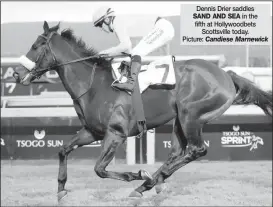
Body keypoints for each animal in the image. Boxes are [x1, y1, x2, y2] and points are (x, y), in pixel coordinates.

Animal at [13, 22, 270, 201]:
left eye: (36, 46)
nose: (16, 73)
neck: (93, 85)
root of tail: (227, 74)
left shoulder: (115, 133)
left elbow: (99, 169)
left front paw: (136, 175)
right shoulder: (92, 132)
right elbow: (63, 150)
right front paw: (60, 190)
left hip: (191, 115)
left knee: (197, 150)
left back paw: (144, 184)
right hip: (180, 120)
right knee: (177, 153)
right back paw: (154, 182)